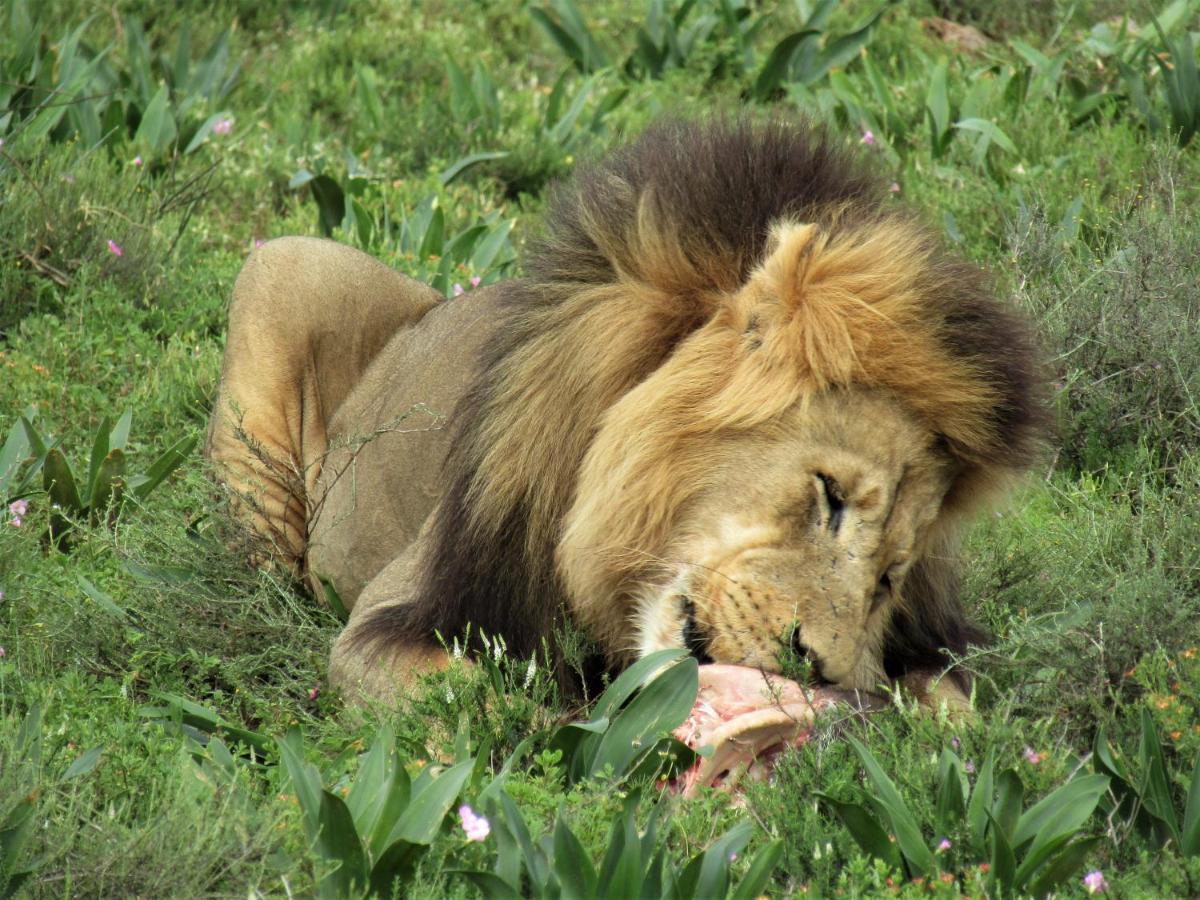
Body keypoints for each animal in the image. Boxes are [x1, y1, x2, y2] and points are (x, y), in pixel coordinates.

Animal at [204, 118, 1041, 710]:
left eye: (891, 578)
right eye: (828, 496)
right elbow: (475, 703)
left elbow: (959, 708)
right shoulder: (403, 621)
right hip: (287, 265)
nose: (821, 667)